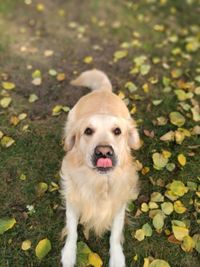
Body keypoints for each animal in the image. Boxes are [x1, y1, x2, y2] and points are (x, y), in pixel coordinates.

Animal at [60, 69, 140, 267]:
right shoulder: (73, 199)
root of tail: (102, 90)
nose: (104, 152)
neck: (100, 182)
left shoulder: (119, 204)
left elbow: (115, 235)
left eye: (117, 131)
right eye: (88, 131)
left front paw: (117, 258)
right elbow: (72, 230)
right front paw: (69, 254)